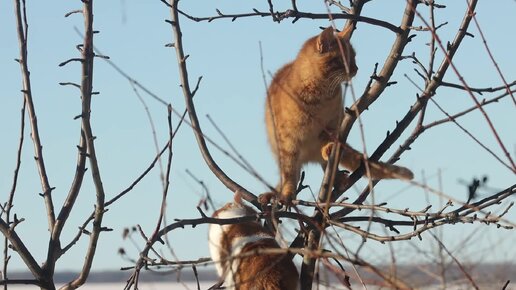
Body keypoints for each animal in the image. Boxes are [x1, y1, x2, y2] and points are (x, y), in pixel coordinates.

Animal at [264, 24, 414, 203]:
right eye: (344, 59)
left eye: (354, 57)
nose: (356, 69)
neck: (318, 96)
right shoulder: (287, 142)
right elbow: (289, 174)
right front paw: (286, 193)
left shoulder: (333, 124)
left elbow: (329, 138)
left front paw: (329, 147)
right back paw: (273, 193)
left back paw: (338, 178)